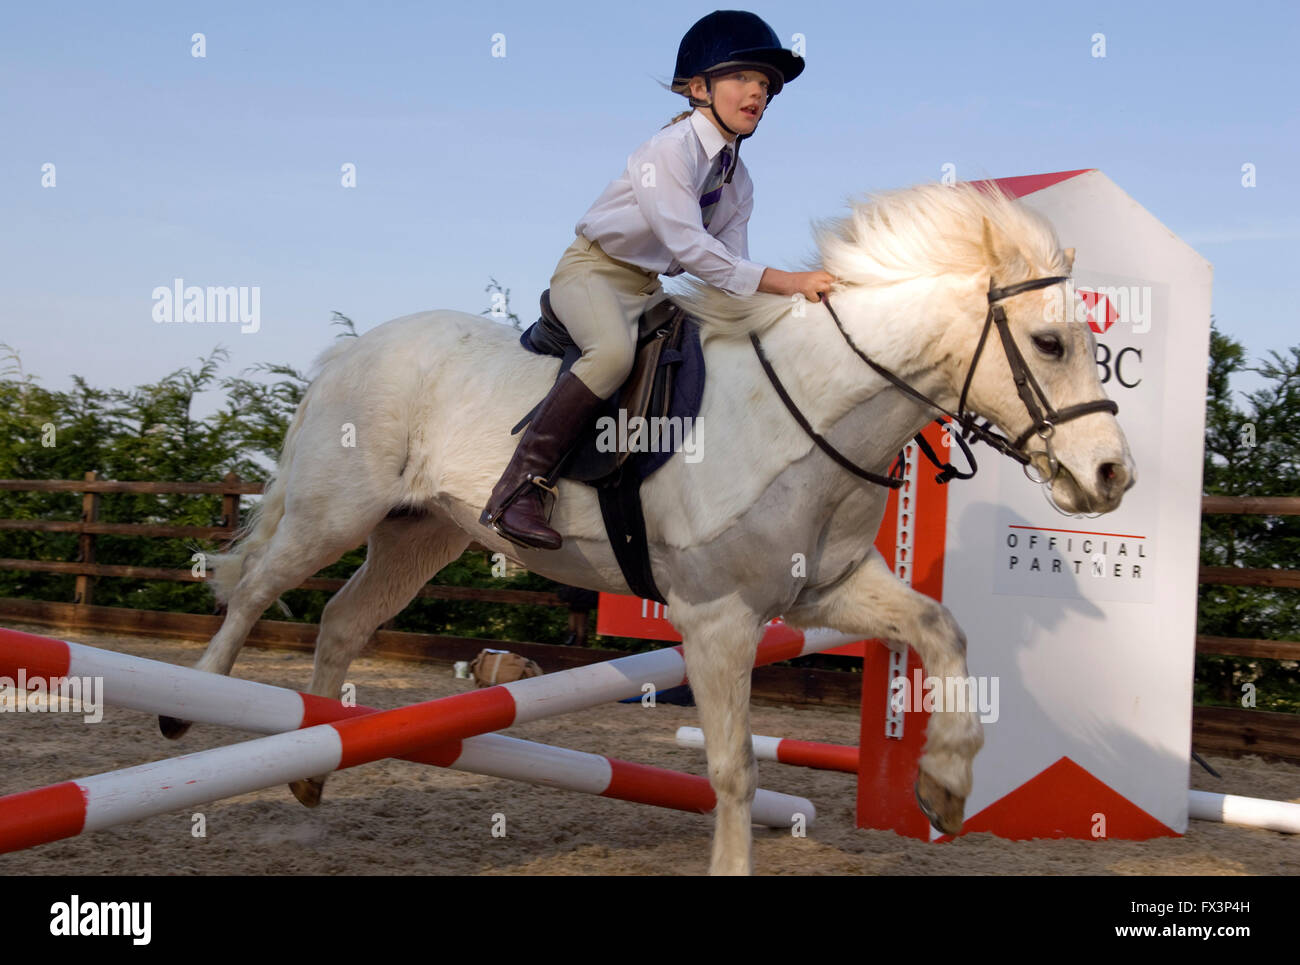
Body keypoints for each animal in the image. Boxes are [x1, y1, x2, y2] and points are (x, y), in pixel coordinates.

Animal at [164, 182, 1134, 875]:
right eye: (1049, 344)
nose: (1111, 476)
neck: (811, 408)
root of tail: (354, 346)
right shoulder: (716, 617)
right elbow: (734, 766)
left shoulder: (824, 588)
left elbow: (942, 629)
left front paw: (945, 783)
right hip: (334, 512)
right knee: (256, 588)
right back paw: (189, 710)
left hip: (419, 534)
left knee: (342, 619)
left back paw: (310, 762)